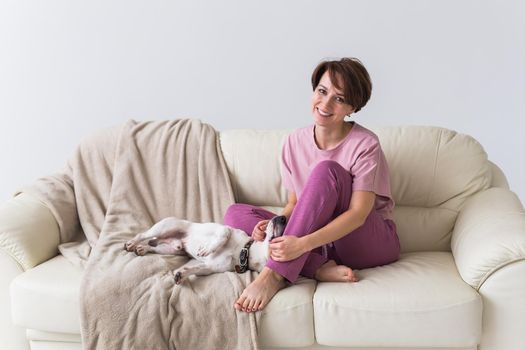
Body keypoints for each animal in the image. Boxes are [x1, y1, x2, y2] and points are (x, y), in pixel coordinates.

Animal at [124, 216, 286, 284]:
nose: (284, 217)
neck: (244, 252)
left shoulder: (210, 267)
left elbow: (195, 269)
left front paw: (181, 274)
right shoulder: (225, 229)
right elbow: (224, 234)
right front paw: (207, 249)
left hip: (171, 249)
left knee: (153, 245)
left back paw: (142, 248)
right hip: (166, 228)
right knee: (143, 235)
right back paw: (131, 243)